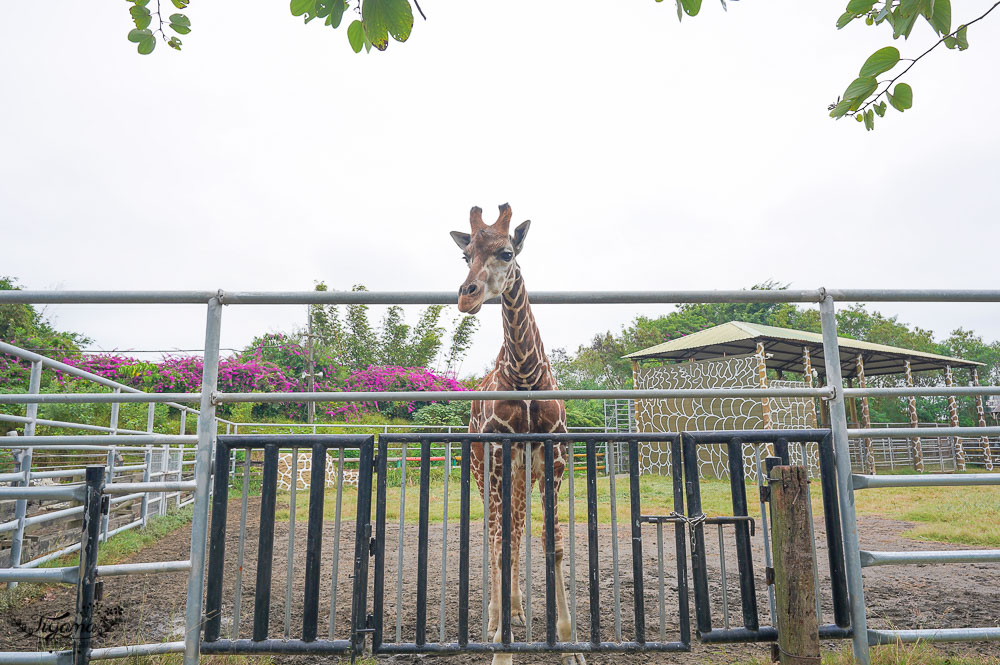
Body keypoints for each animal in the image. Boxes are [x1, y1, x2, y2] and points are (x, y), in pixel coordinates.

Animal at [450, 202, 584, 664]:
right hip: (482, 472)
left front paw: (569, 642)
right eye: (465, 254)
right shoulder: (498, 458)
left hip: (522, 477)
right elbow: (500, 542)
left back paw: (518, 609)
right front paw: (502, 646)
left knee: (514, 531)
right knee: (494, 536)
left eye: (506, 252)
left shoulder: (553, 457)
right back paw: (495, 620)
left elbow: (551, 543)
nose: (466, 295)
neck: (524, 375)